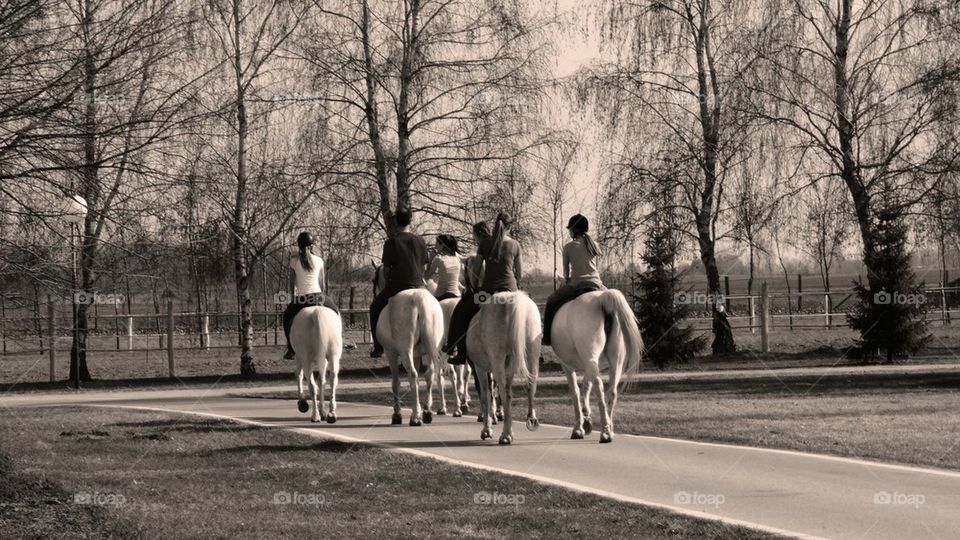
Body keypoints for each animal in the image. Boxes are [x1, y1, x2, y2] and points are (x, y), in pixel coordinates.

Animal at [376, 266, 448, 426]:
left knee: (413, 374)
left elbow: (396, 382)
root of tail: (420, 300)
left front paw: (397, 414)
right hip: (431, 349)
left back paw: (415, 417)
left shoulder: (391, 353)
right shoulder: (416, 355)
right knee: (431, 374)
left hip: (405, 350)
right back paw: (426, 412)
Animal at [468, 294, 544, 446]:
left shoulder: (479, 368)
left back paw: (506, 435)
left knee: (504, 393)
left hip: (497, 361)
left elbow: (486, 397)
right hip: (532, 355)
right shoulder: (508, 369)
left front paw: (487, 429)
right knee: (530, 386)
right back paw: (530, 419)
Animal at [552, 288, 640, 440]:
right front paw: (586, 418)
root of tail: (601, 298)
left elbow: (575, 391)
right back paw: (609, 428)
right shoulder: (590, 365)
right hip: (614, 361)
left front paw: (578, 427)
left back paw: (605, 432)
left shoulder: (567, 365)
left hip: (591, 358)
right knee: (611, 392)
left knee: (599, 387)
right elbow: (586, 387)